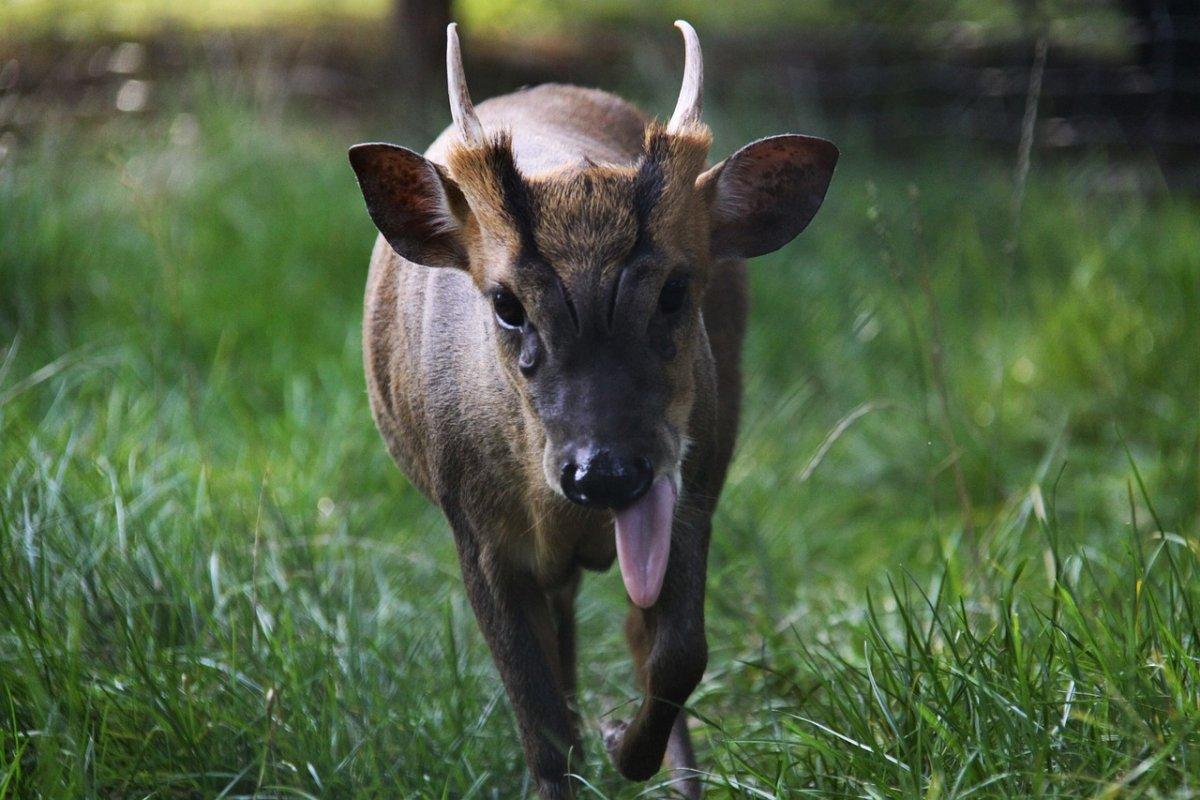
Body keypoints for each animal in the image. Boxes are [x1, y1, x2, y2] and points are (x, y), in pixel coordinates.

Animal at [348, 20, 835, 800]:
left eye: (675, 290)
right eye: (506, 303)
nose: (602, 471)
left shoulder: (695, 486)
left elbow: (679, 654)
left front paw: (623, 745)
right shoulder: (474, 528)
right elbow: (543, 728)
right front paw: (586, 750)